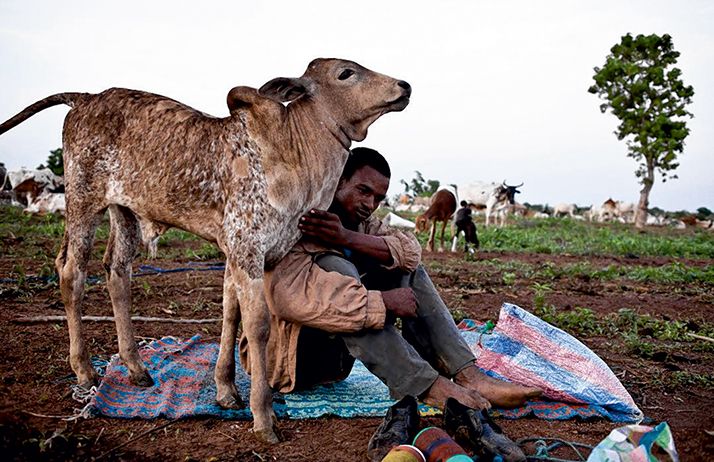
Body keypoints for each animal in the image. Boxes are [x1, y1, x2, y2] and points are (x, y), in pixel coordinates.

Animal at [0, 58, 408, 444]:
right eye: (346, 73)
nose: (404, 85)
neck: (295, 152)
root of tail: (86, 98)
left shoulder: (238, 253)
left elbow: (230, 313)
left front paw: (225, 390)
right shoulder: (247, 248)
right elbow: (256, 325)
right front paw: (263, 417)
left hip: (124, 211)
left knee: (117, 273)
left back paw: (136, 367)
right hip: (84, 201)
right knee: (72, 272)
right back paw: (84, 369)